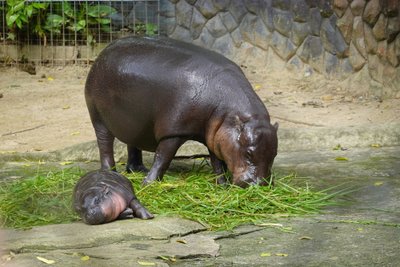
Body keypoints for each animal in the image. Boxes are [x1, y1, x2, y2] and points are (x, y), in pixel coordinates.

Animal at [84, 36, 278, 188]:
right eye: (248, 153)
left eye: (274, 154)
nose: (259, 185)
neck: (227, 110)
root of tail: (104, 52)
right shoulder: (173, 131)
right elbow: (162, 157)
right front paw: (149, 184)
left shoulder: (215, 135)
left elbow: (217, 162)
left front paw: (222, 186)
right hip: (98, 117)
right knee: (105, 145)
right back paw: (111, 173)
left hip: (134, 121)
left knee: (133, 144)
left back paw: (137, 170)